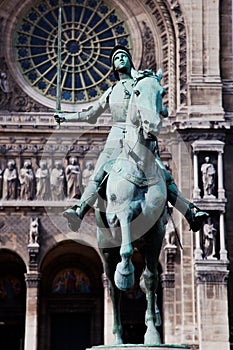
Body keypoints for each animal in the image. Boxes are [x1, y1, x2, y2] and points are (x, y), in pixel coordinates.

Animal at [95, 72, 168, 346]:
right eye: (137, 92)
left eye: (162, 93)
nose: (152, 125)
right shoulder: (121, 215)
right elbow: (125, 252)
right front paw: (124, 274)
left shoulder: (156, 232)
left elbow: (150, 279)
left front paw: (152, 333)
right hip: (105, 247)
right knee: (112, 288)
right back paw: (116, 336)